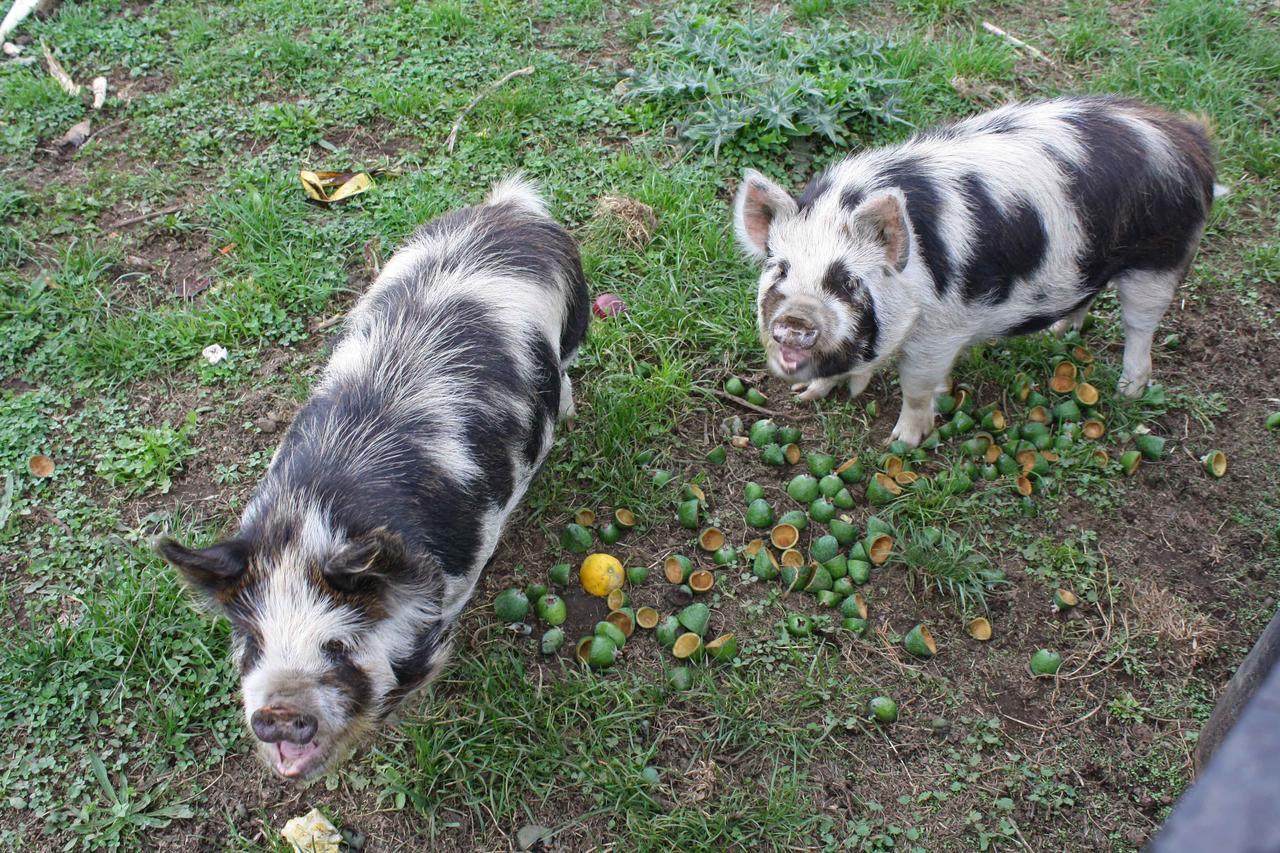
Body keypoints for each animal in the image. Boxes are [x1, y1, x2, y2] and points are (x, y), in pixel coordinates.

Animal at [154, 174, 588, 778]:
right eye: (253, 641)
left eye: (337, 646)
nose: (280, 712)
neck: (312, 517)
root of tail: (507, 211)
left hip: (575, 316)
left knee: (567, 371)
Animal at [737, 94, 1213, 445]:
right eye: (780, 269)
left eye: (848, 280)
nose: (797, 318)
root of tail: (1187, 138)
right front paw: (804, 397)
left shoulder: (939, 332)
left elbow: (917, 387)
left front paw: (901, 442)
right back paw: (1058, 334)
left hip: (1160, 261)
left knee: (1140, 327)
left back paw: (1127, 391)